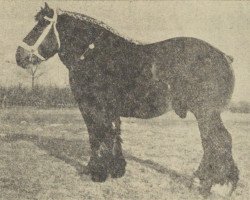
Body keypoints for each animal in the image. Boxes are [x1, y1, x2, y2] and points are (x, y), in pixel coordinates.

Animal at [15, 2, 238, 197]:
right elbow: (114, 135)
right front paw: (117, 170)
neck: (93, 53)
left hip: (206, 113)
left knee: (219, 141)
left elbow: (97, 136)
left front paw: (96, 172)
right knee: (211, 141)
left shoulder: (92, 108)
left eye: (40, 26)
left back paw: (216, 185)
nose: (19, 56)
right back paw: (204, 180)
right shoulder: (110, 110)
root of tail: (224, 56)